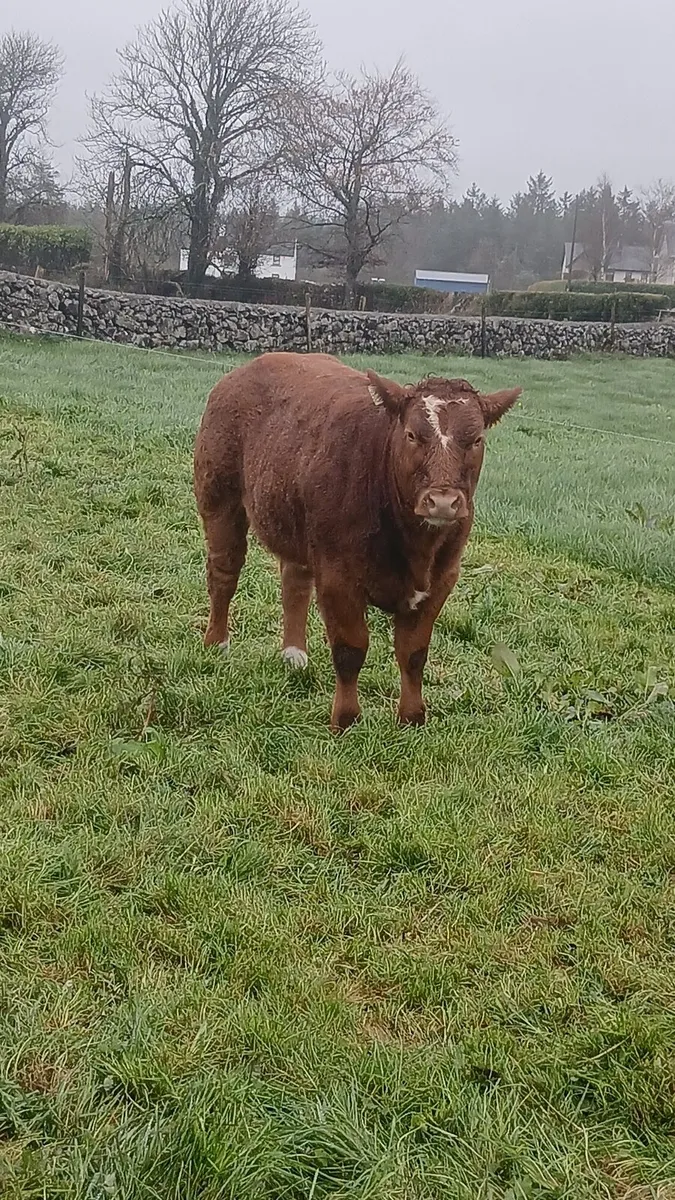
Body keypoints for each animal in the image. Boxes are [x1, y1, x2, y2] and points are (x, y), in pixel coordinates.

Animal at [194, 352, 521, 730]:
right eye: (412, 435)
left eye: (477, 439)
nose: (442, 501)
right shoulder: (338, 577)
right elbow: (350, 649)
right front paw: (346, 720)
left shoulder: (443, 578)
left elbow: (413, 653)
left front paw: (412, 718)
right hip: (219, 496)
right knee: (224, 573)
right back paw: (216, 644)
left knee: (294, 581)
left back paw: (294, 654)